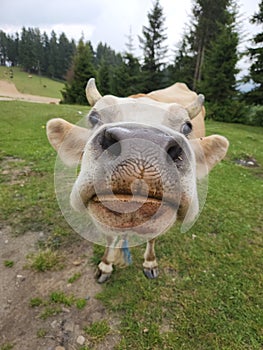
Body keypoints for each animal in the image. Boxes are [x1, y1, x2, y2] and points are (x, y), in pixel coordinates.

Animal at [47, 78, 229, 282]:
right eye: (94, 117)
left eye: (187, 126)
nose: (141, 144)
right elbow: (110, 238)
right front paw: (105, 266)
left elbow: (153, 237)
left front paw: (150, 263)